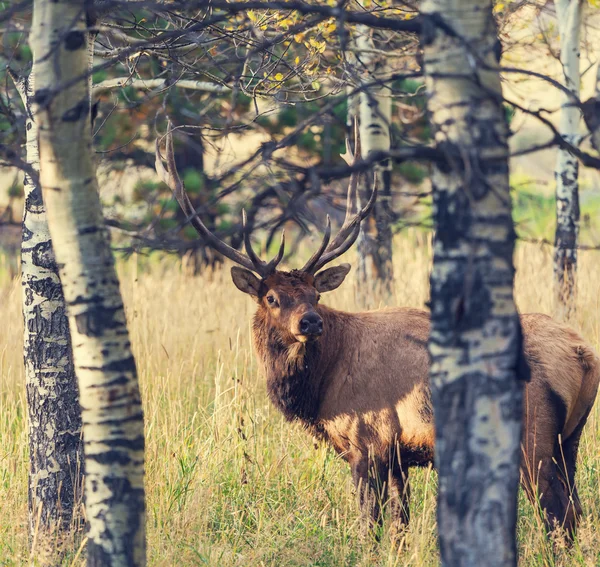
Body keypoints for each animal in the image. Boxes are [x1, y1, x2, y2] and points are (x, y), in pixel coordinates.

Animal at [157, 125, 596, 540]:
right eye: (272, 297)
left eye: (315, 294)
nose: (311, 322)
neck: (320, 389)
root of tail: (584, 355)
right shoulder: (398, 455)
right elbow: (400, 525)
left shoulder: (367, 441)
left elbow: (371, 523)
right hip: (570, 440)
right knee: (576, 509)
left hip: (532, 437)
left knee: (557, 515)